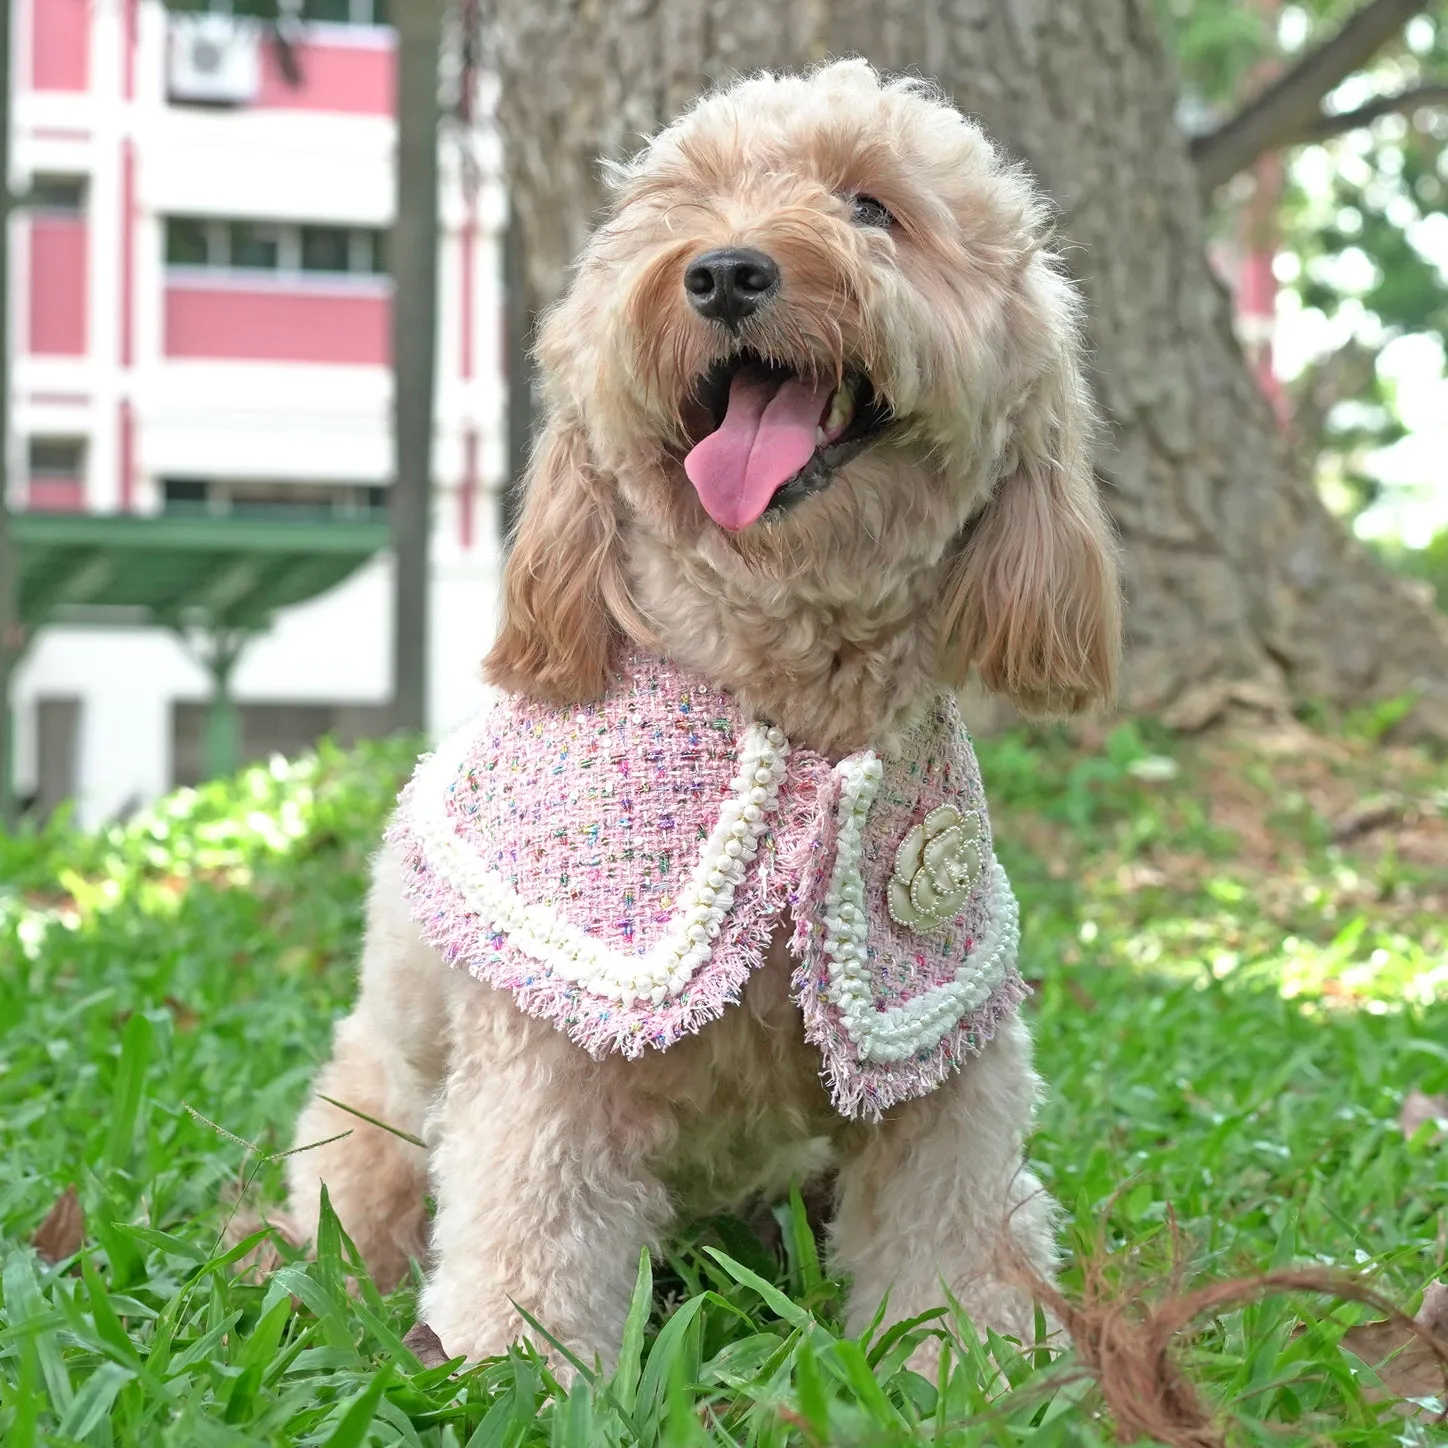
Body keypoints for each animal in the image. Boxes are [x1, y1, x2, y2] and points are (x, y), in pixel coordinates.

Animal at [282, 56, 1117, 1366]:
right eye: (677, 207)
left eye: (870, 207)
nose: (724, 271)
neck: (785, 679)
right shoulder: (551, 1054)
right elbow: (534, 1228)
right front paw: (515, 1368)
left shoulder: (941, 1052)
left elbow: (951, 1224)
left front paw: (967, 1364)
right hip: (366, 1121)